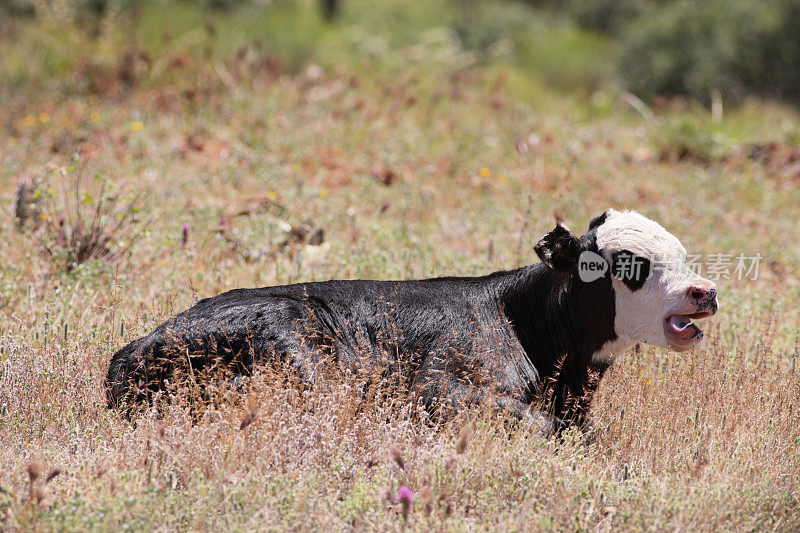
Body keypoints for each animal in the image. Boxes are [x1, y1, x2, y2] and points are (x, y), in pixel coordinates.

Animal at [104, 206, 720, 434]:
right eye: (628, 263)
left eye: (683, 253)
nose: (705, 291)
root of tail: (136, 347)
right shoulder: (441, 387)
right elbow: (542, 426)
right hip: (299, 356)